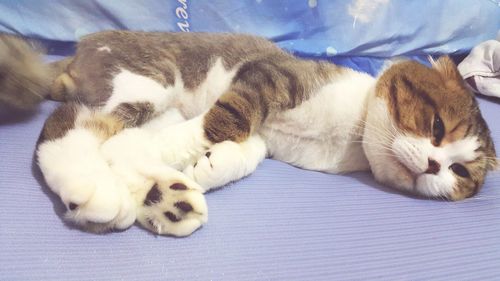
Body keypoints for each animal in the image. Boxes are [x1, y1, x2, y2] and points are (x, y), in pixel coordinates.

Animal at [0, 30, 496, 235]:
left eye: (460, 174)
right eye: (437, 127)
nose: (434, 164)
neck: (345, 139)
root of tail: (80, 50)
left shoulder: (269, 139)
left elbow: (246, 147)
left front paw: (211, 165)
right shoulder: (269, 76)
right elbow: (229, 118)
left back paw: (164, 199)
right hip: (149, 79)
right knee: (69, 124)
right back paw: (96, 187)